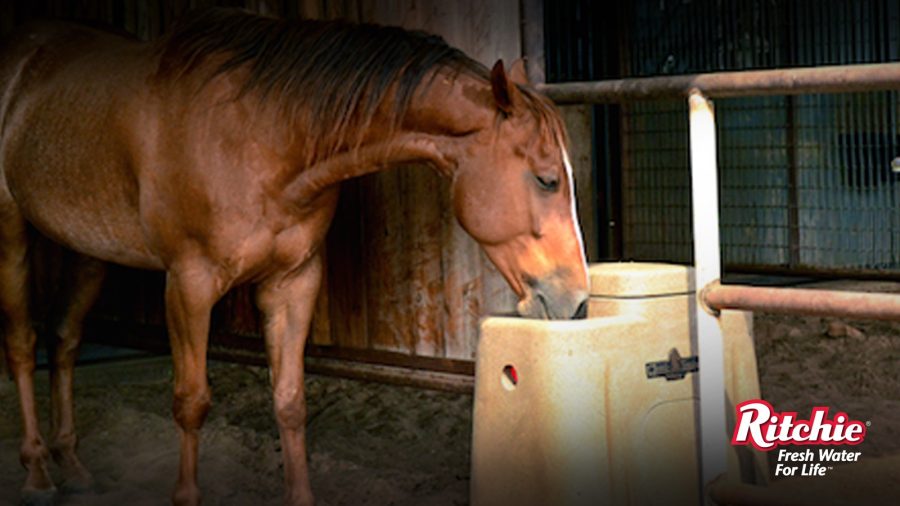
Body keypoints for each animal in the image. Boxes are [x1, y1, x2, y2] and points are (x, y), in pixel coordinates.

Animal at [0, 8, 589, 506]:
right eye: (546, 179)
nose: (578, 302)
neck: (258, 135)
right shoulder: (188, 285)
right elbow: (191, 401)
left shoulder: (294, 282)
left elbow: (289, 400)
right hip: (13, 236)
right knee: (24, 345)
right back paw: (37, 472)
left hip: (86, 247)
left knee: (65, 340)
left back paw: (74, 465)